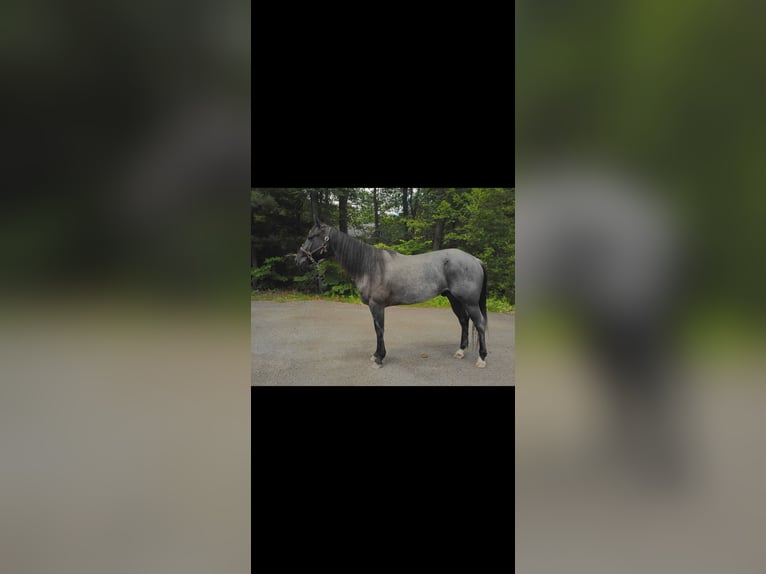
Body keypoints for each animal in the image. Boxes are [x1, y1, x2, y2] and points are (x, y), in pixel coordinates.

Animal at [296, 216, 489, 368]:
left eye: (311, 236)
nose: (298, 259)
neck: (370, 266)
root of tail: (475, 260)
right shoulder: (374, 307)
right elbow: (377, 330)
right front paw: (376, 355)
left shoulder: (377, 306)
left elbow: (380, 330)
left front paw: (379, 359)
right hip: (454, 299)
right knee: (464, 321)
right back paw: (460, 352)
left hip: (470, 302)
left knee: (479, 324)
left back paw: (481, 358)